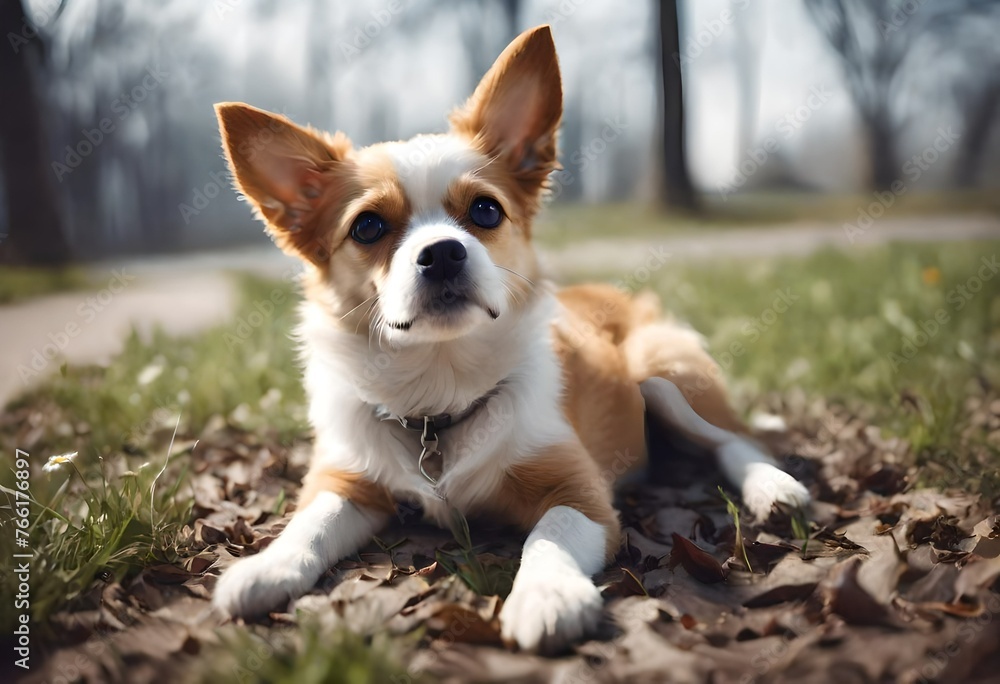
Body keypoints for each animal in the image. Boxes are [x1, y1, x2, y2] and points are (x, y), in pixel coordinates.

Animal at [213, 22, 812, 652]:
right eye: (368, 226)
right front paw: (266, 567)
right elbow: (311, 523)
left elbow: (547, 536)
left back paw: (772, 488)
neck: (440, 390)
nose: (443, 253)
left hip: (663, 375)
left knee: (733, 439)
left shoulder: (580, 495)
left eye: (485, 211)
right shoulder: (345, 479)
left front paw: (547, 596)